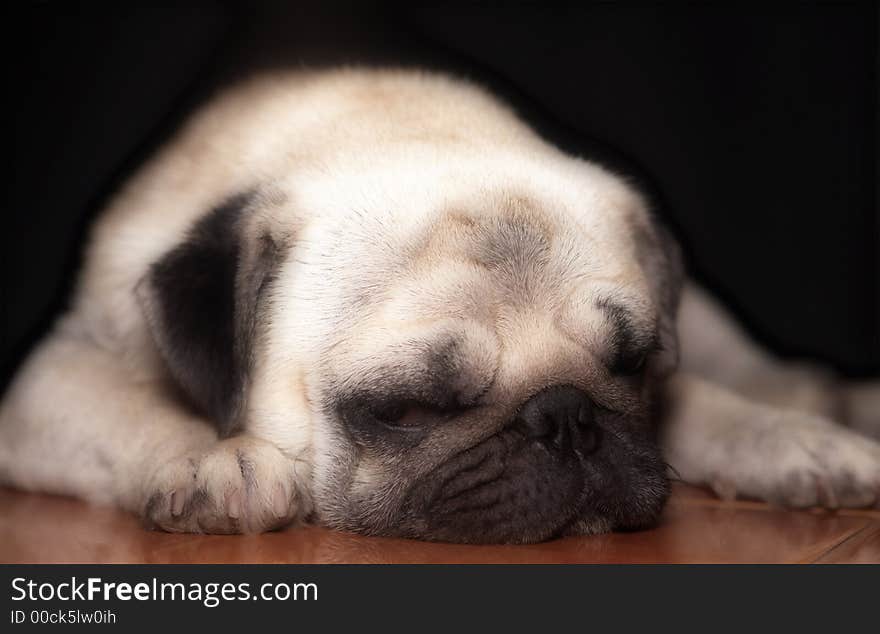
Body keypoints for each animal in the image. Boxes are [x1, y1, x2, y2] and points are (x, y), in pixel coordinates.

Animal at [1, 70, 880, 544]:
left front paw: (786, 440)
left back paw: (818, 401)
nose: (566, 415)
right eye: (405, 409)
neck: (389, 128)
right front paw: (211, 457)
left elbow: (703, 401)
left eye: (632, 366)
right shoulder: (55, 381)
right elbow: (128, 407)